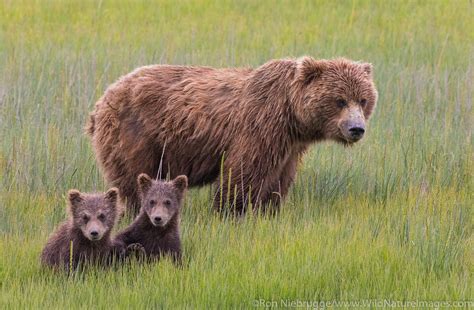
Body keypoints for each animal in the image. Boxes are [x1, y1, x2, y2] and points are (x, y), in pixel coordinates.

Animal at [86, 57, 378, 214]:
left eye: (363, 99)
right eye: (340, 100)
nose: (356, 129)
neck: (292, 116)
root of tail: (103, 99)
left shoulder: (290, 146)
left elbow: (279, 180)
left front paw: (269, 210)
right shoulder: (260, 127)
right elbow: (243, 174)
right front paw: (232, 210)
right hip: (136, 134)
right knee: (134, 179)